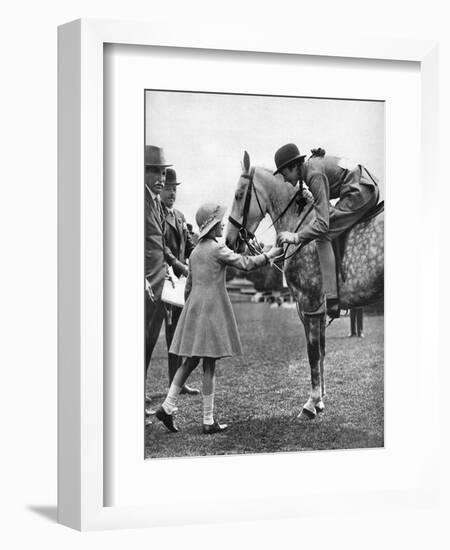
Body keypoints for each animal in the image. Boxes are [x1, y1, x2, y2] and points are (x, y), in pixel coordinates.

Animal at [225, 153, 384, 420]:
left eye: (238, 195)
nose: (228, 241)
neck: (300, 223)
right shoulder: (318, 311)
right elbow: (321, 352)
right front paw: (320, 400)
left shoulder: (309, 306)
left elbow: (313, 354)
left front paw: (311, 404)